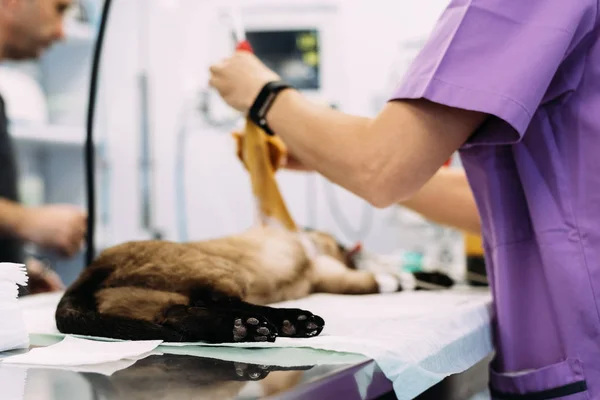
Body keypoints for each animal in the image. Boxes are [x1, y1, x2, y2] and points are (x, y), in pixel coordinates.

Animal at [56, 225, 452, 344]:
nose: (350, 248)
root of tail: (96, 264)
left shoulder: (331, 274)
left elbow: (399, 275)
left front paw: (438, 278)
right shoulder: (336, 274)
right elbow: (389, 279)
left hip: (154, 300)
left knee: (181, 316)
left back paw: (249, 329)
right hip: (223, 272)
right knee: (225, 304)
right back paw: (289, 322)